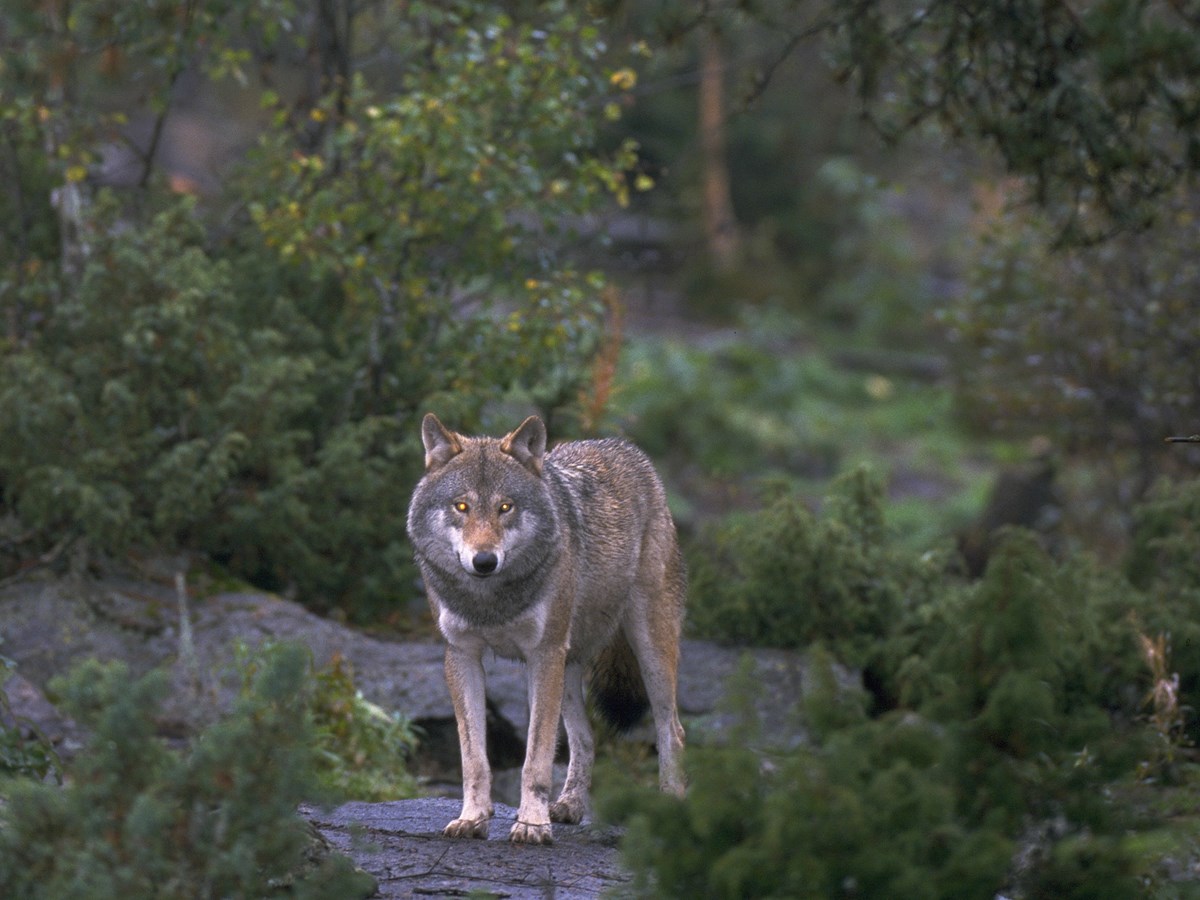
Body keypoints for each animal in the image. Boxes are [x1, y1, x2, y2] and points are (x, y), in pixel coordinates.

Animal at [405, 415, 686, 844]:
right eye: (461, 506)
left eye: (505, 507)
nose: (484, 561)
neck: (491, 599)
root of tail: (625, 448)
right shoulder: (462, 656)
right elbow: (474, 759)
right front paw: (473, 818)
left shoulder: (543, 653)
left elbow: (534, 759)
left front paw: (532, 824)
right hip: (567, 668)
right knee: (586, 737)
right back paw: (569, 805)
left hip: (646, 651)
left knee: (672, 729)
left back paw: (671, 806)